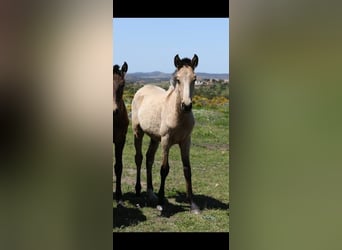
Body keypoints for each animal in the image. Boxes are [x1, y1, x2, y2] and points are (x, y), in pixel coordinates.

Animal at [131, 54, 200, 213]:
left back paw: (151, 193)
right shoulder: (166, 141)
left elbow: (187, 169)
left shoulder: (186, 141)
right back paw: (138, 190)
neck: (178, 116)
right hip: (138, 132)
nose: (187, 105)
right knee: (139, 158)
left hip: (154, 138)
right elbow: (164, 169)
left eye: (194, 78)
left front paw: (193, 204)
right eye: (178, 79)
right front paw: (161, 201)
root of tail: (142, 89)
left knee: (149, 159)